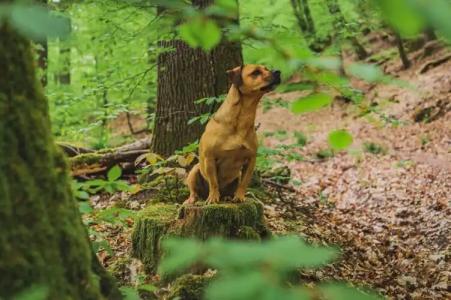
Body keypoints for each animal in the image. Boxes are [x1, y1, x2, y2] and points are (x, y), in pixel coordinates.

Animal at [183, 63, 280, 204]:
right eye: (255, 72)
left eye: (266, 69)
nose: (278, 72)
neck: (241, 118)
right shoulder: (210, 158)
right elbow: (214, 182)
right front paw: (213, 198)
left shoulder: (251, 159)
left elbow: (244, 183)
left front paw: (239, 196)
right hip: (195, 170)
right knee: (194, 189)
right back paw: (193, 198)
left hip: (236, 176)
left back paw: (228, 196)